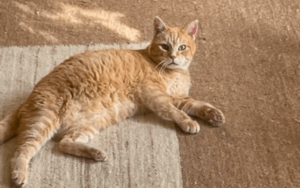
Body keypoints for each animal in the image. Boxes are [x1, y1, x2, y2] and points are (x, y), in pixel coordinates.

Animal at [0, 16, 224, 187]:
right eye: (165, 46)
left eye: (182, 47)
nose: (173, 57)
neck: (173, 73)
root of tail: (27, 99)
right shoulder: (155, 95)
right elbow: (175, 112)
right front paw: (188, 122)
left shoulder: (177, 97)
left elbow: (194, 104)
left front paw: (212, 114)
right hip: (43, 121)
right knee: (20, 150)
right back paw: (19, 174)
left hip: (90, 124)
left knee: (64, 143)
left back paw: (95, 152)